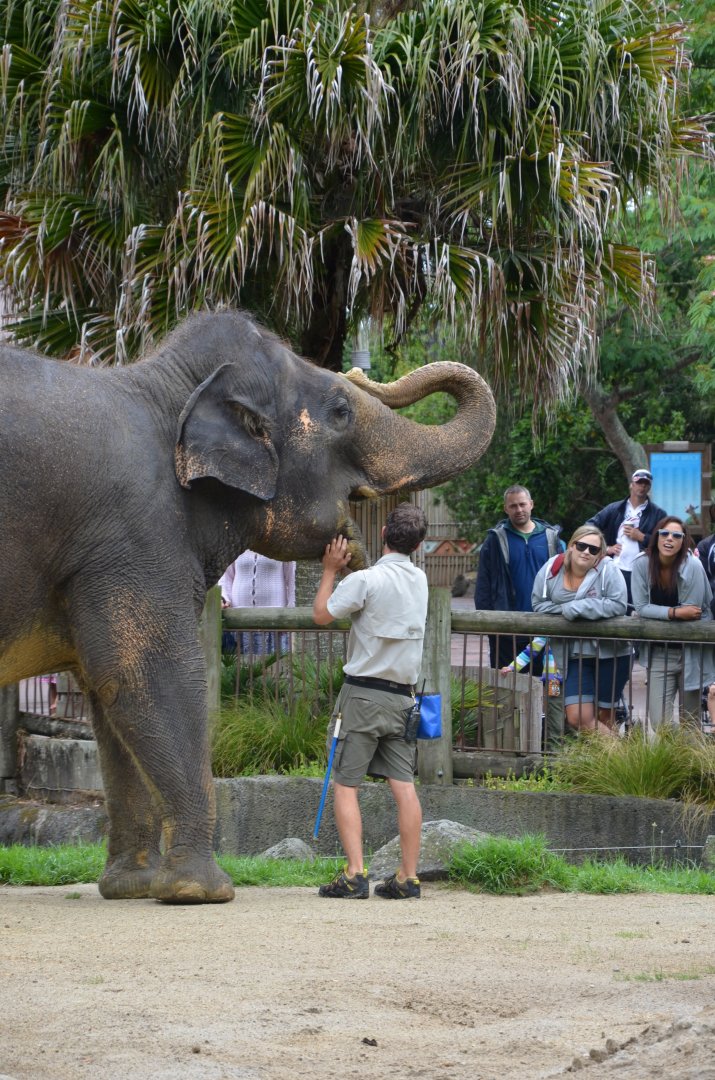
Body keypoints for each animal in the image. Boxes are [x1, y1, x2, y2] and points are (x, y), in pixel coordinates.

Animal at [0, 310, 495, 903]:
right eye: (340, 410)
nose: (360, 368)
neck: (165, 387)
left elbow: (109, 696)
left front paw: (132, 888)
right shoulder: (133, 537)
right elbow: (150, 675)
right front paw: (202, 891)